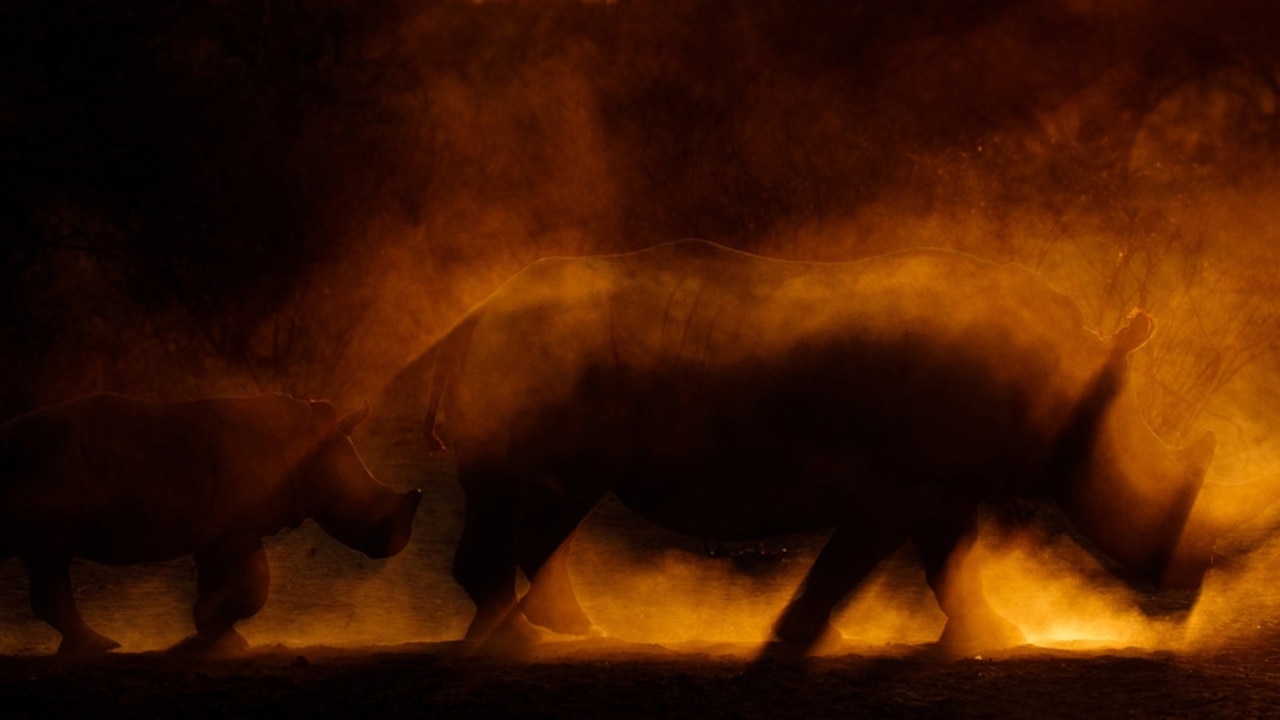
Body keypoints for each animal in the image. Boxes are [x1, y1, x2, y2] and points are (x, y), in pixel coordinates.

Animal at [0, 389, 422, 653]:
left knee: (47, 563)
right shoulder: (238, 528)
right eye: (366, 505)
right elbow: (254, 587)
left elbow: (224, 585)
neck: (310, 455)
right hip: (44, 470)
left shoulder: (218, 530)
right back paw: (100, 646)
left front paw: (215, 637)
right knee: (50, 561)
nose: (397, 542)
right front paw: (205, 639)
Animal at [417, 242, 1218, 655]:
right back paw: (554, 631)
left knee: (516, 497)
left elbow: (952, 561)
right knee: (552, 498)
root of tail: (477, 312)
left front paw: (1001, 635)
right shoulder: (914, 476)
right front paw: (799, 635)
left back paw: (523, 628)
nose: (1190, 575)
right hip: (554, 361)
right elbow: (865, 556)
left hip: (533, 358)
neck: (1070, 376)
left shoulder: (943, 479)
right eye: (1134, 483)